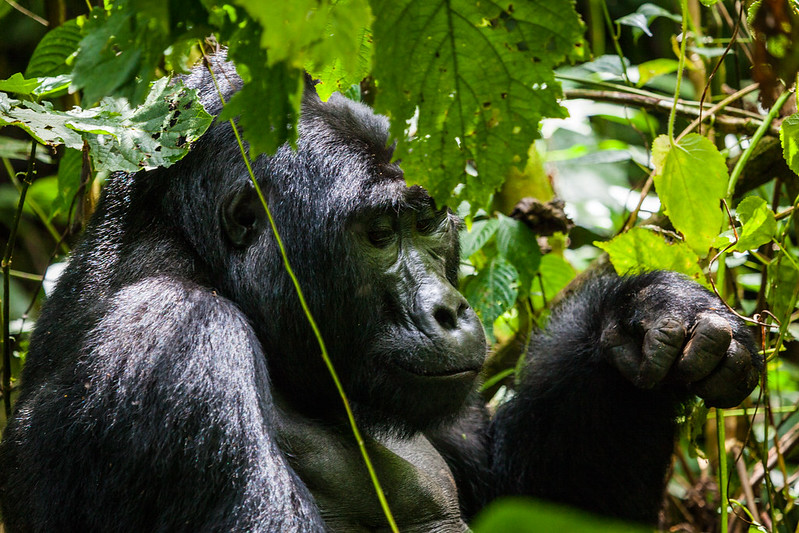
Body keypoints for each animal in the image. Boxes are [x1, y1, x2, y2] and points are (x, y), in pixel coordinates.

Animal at [0, 55, 764, 532]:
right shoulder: (174, 342)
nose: (449, 309)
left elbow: (526, 496)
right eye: (377, 234)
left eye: (426, 222)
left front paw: (644, 316)